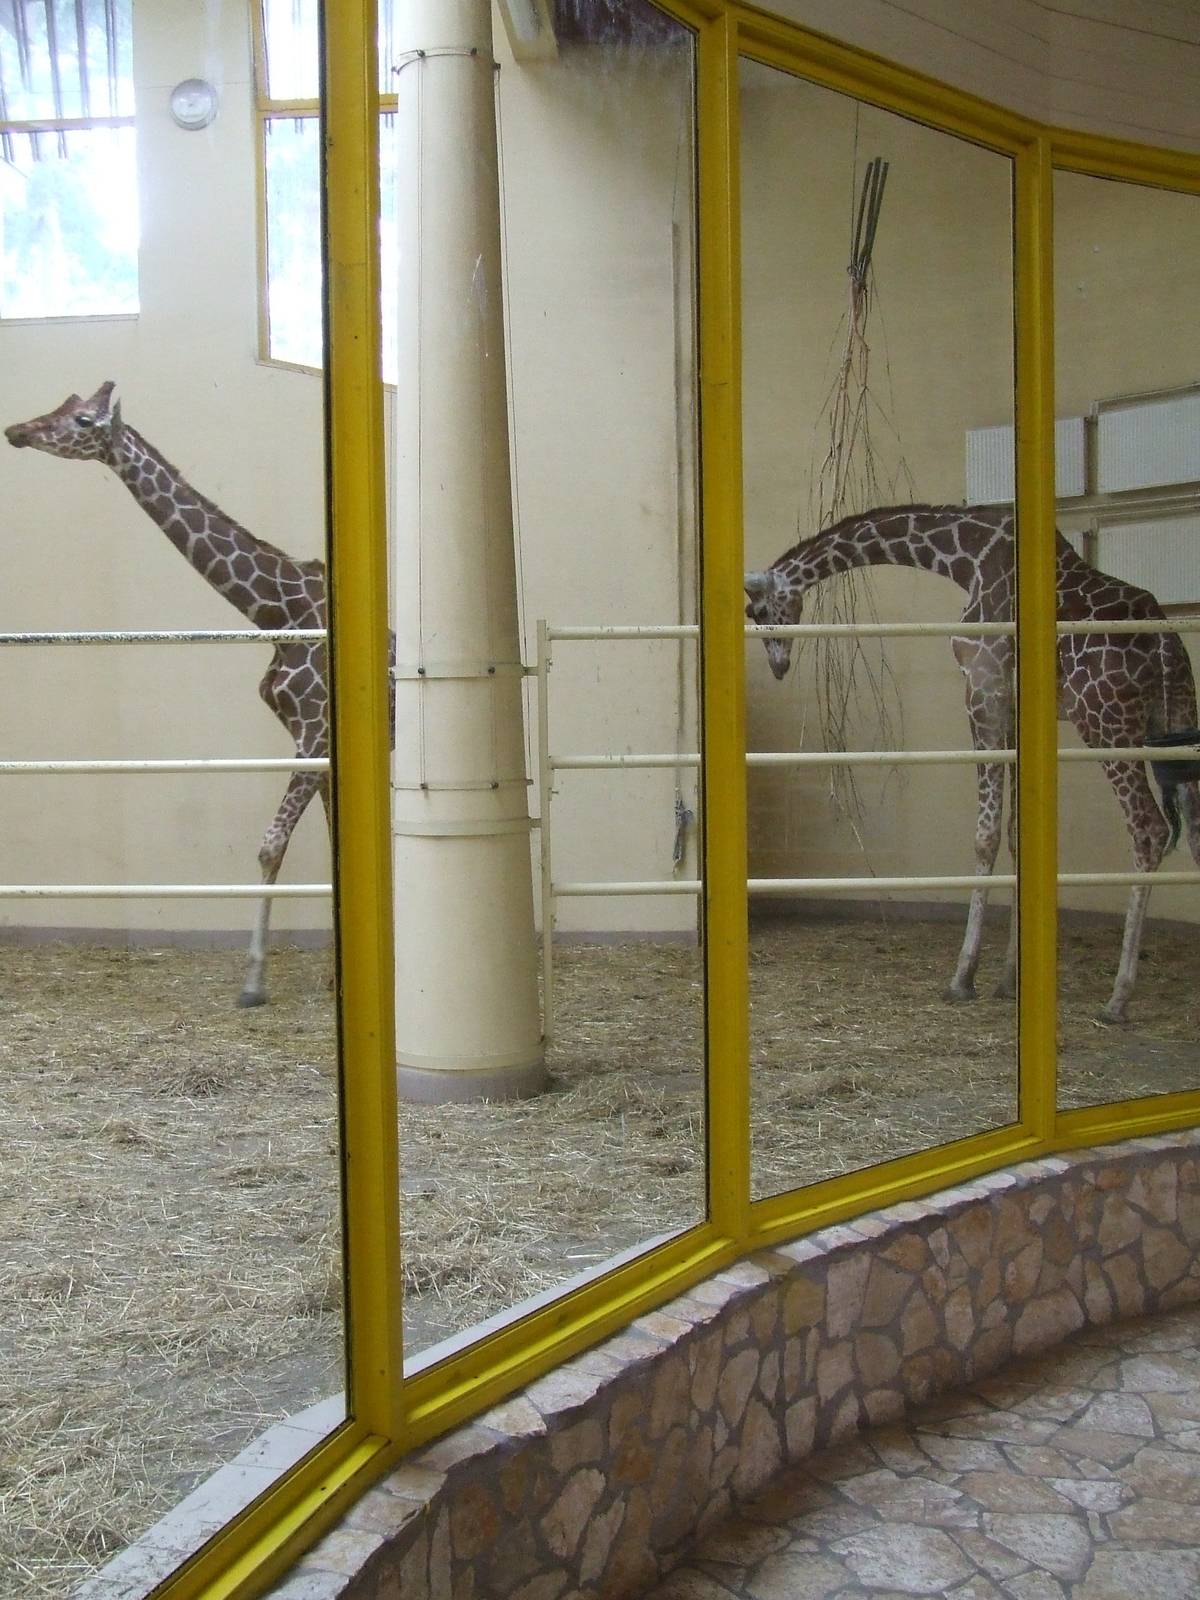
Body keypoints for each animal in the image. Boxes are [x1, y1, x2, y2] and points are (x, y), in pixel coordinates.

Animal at [5, 380, 386, 1008]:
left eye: (83, 419)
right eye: (63, 403)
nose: (17, 430)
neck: (274, 613)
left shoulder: (314, 731)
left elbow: (271, 845)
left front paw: (253, 984)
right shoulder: (318, 742)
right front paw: (337, 977)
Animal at [744, 503, 1200, 1023]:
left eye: (758, 611)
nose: (779, 665)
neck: (964, 558)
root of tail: (1166, 648)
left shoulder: (982, 689)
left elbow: (985, 837)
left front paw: (963, 977)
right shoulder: (1016, 707)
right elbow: (1020, 838)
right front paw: (1008, 979)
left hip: (1106, 723)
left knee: (1149, 829)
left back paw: (1118, 997)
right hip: (1176, 718)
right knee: (1194, 829)